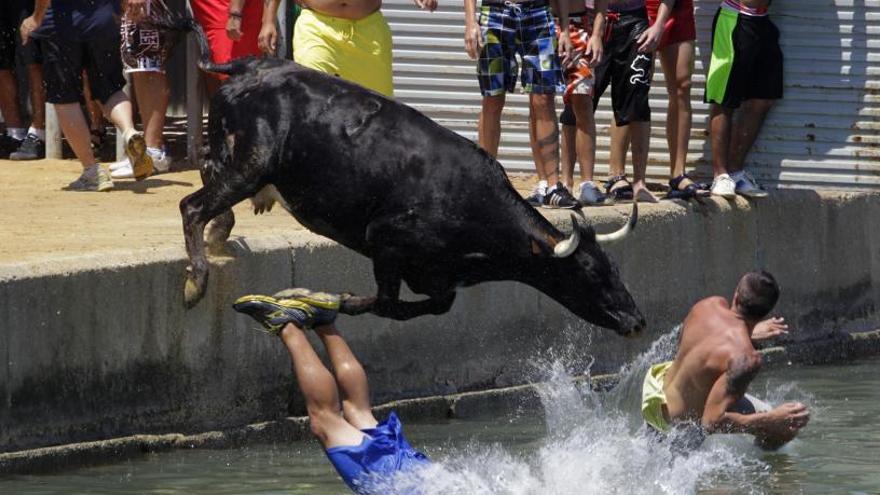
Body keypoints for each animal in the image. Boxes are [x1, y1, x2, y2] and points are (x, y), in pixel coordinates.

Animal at [179, 29, 648, 338]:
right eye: (590, 272)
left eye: (616, 269)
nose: (638, 321)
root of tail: (247, 64)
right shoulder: (384, 241)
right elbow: (384, 304)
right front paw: (323, 301)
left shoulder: (436, 278)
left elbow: (431, 307)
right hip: (252, 165)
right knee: (191, 205)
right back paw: (196, 281)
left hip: (234, 158)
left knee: (204, 177)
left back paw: (222, 231)